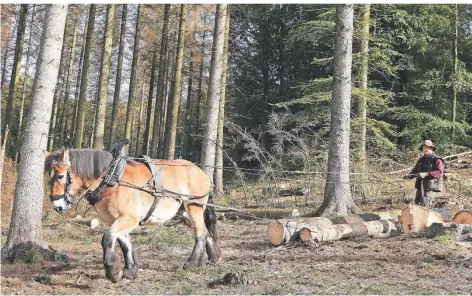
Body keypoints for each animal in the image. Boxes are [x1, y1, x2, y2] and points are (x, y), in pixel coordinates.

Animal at [44, 148, 221, 282]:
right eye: (48, 178)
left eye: (60, 176)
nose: (57, 206)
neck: (112, 180)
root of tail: (201, 172)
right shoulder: (117, 219)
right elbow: (125, 243)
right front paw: (130, 271)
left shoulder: (129, 218)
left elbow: (107, 238)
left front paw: (113, 271)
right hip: (184, 211)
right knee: (206, 232)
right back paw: (213, 258)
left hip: (194, 207)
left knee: (201, 233)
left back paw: (192, 263)